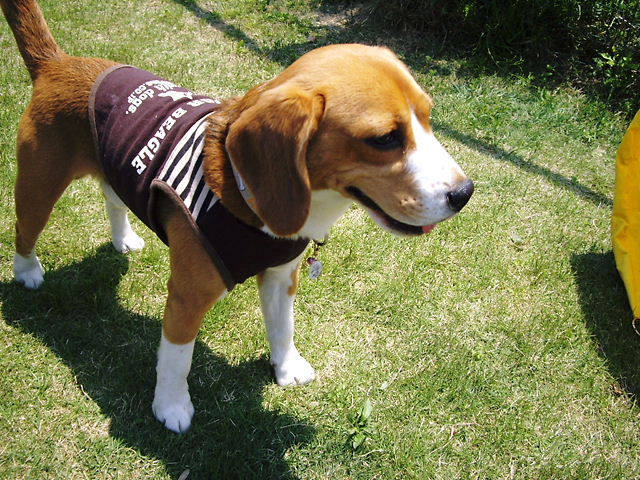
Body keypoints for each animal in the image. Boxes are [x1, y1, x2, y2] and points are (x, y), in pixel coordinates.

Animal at [2, 0, 473, 433]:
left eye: (428, 118)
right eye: (384, 139)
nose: (464, 193)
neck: (249, 198)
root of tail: (58, 63)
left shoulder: (283, 276)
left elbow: (283, 328)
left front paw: (286, 368)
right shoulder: (188, 295)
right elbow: (177, 358)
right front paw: (170, 407)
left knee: (112, 197)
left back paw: (123, 238)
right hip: (38, 185)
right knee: (24, 230)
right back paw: (28, 272)